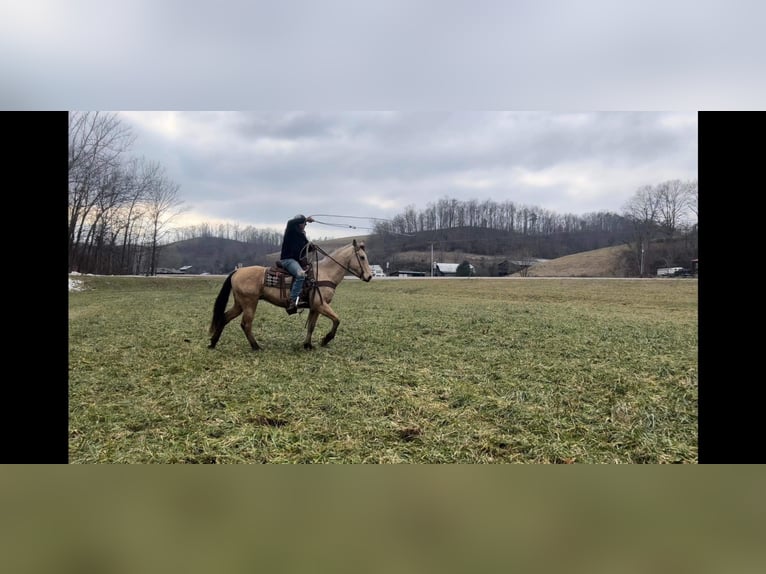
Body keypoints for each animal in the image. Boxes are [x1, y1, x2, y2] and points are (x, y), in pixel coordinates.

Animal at [207, 238, 376, 352]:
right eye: (362, 257)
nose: (369, 276)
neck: (325, 273)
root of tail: (237, 271)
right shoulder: (321, 305)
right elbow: (337, 319)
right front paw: (325, 339)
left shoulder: (315, 308)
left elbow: (311, 326)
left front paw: (308, 345)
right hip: (250, 303)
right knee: (246, 324)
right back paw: (256, 346)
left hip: (240, 304)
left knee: (224, 318)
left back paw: (213, 343)